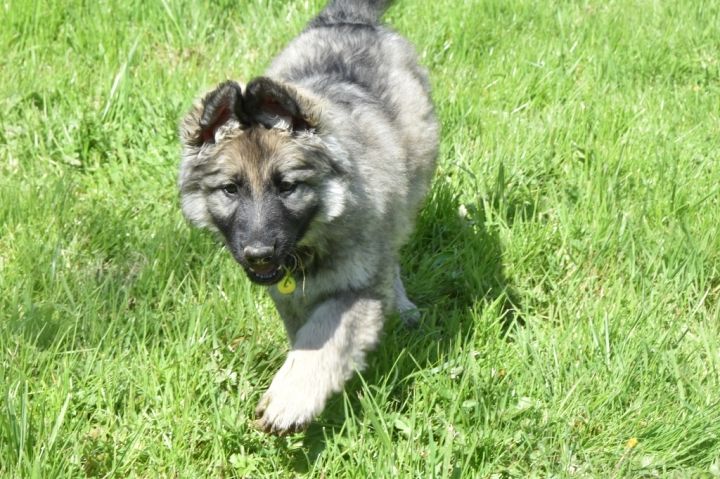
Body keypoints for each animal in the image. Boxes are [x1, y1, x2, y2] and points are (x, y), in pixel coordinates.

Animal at [178, 0, 438, 434]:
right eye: (230, 189)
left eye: (287, 187)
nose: (259, 255)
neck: (312, 240)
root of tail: (349, 19)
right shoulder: (288, 298)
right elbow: (302, 334)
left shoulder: (358, 289)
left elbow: (324, 339)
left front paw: (290, 399)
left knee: (394, 256)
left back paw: (403, 306)